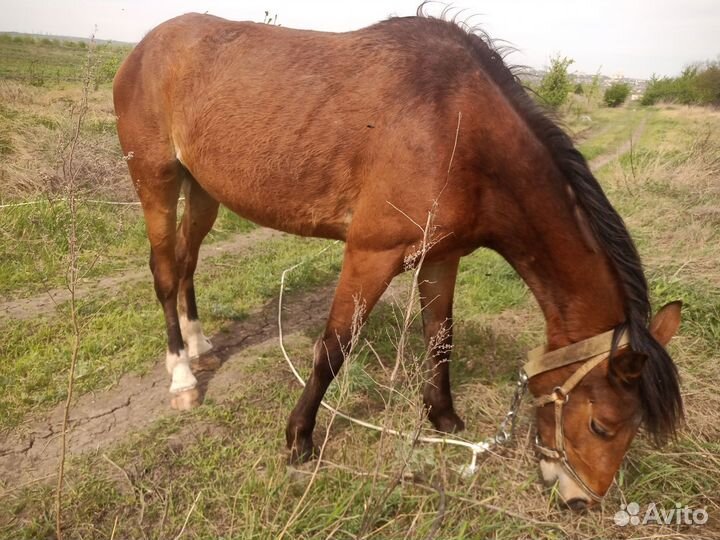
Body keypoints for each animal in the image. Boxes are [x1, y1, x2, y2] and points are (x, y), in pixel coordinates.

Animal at [113, 10, 684, 509]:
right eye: (601, 425)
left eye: (632, 428)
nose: (579, 501)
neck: (456, 128)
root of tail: (144, 47)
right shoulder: (372, 253)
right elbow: (334, 347)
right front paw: (299, 438)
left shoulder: (442, 258)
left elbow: (440, 337)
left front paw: (444, 418)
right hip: (157, 181)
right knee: (165, 271)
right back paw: (183, 377)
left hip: (203, 189)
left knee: (187, 262)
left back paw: (201, 346)